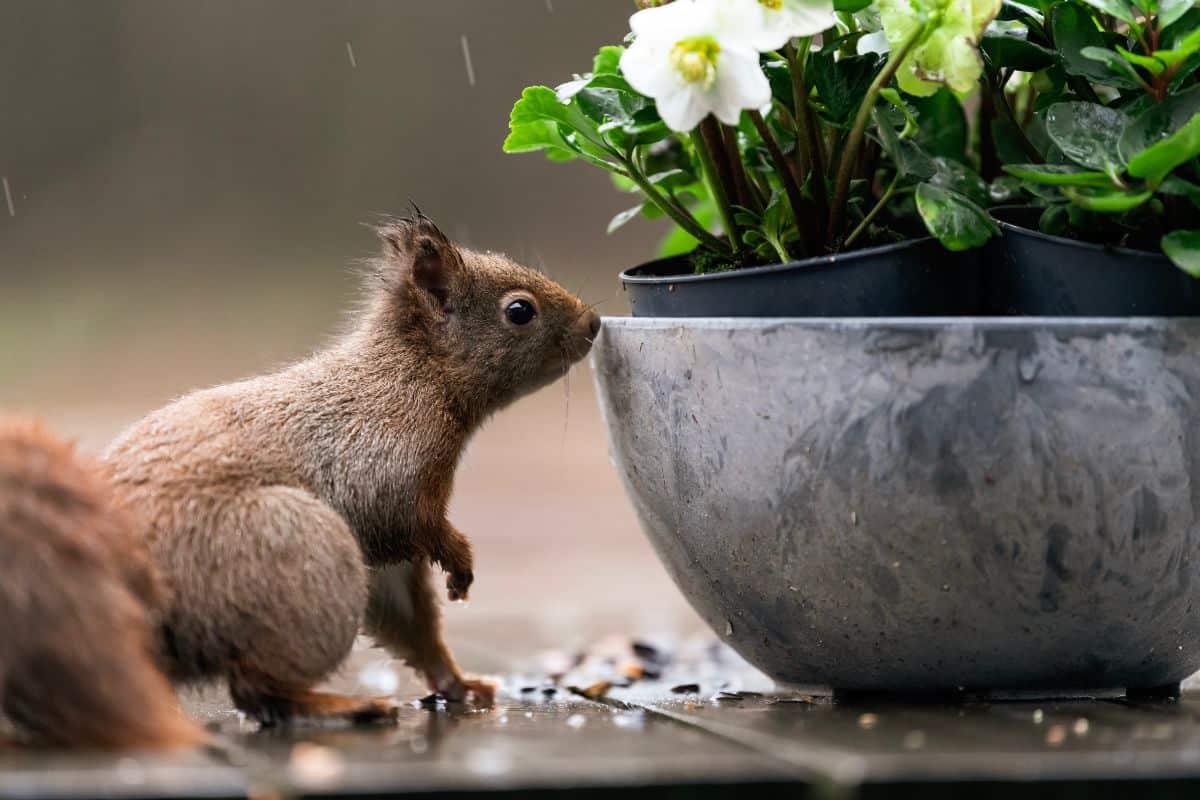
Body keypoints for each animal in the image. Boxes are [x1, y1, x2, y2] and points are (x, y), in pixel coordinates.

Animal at [102, 215, 600, 729]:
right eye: (519, 310)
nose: (593, 323)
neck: (418, 374)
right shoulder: (384, 466)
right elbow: (407, 518)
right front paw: (460, 560)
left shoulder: (389, 559)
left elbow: (410, 617)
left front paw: (457, 683)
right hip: (297, 555)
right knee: (257, 689)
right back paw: (346, 705)